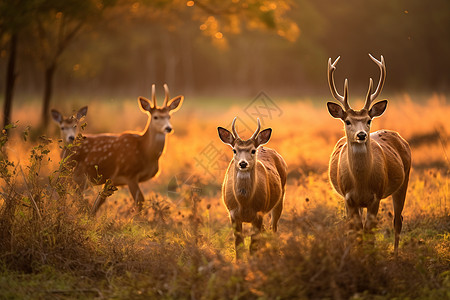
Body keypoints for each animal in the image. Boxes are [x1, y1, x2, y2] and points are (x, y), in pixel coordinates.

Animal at [64, 84, 183, 214]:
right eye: (155, 117)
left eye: (169, 116)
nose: (168, 128)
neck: (145, 152)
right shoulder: (130, 175)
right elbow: (140, 202)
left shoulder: (113, 181)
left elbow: (99, 202)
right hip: (73, 173)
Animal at [218, 118, 288, 256]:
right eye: (234, 150)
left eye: (253, 150)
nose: (243, 163)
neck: (244, 203)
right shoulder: (232, 214)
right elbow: (239, 245)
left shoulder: (258, 213)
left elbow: (253, 246)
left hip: (280, 197)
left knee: (273, 228)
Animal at [326, 54, 412, 255]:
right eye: (347, 121)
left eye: (368, 120)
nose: (361, 135)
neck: (361, 184)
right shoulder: (348, 198)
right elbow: (356, 232)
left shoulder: (376, 196)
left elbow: (369, 233)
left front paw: (369, 258)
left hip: (404, 180)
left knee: (398, 220)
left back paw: (396, 255)